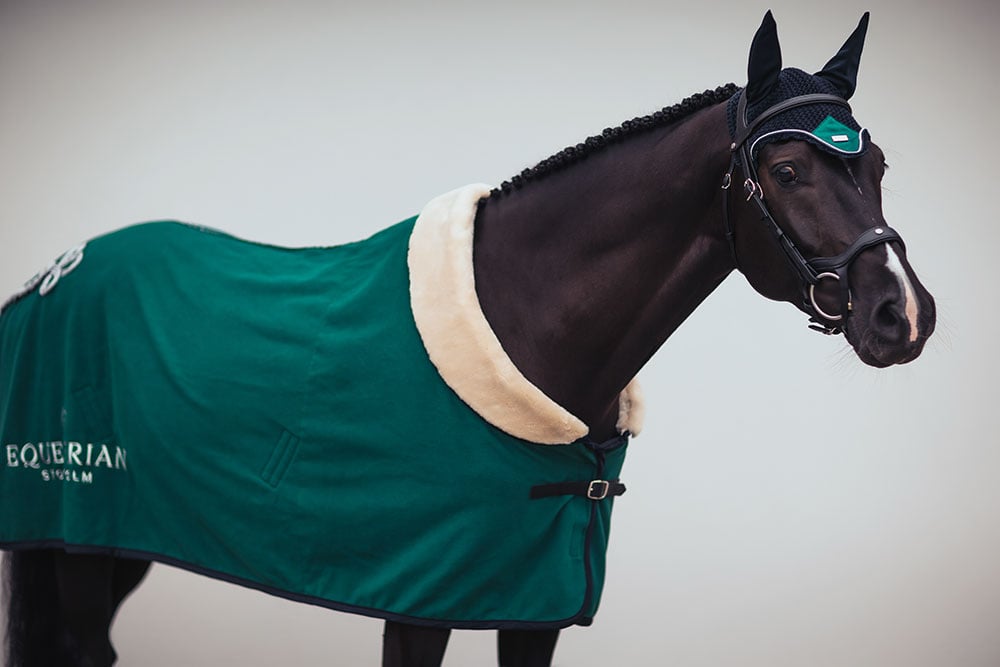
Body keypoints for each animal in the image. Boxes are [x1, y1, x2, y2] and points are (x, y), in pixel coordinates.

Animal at [1, 11, 935, 667]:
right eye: (787, 171)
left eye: (879, 164)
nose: (903, 314)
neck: (518, 323)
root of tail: (50, 277)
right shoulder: (419, 601)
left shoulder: (532, 602)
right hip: (73, 520)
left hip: (119, 537)